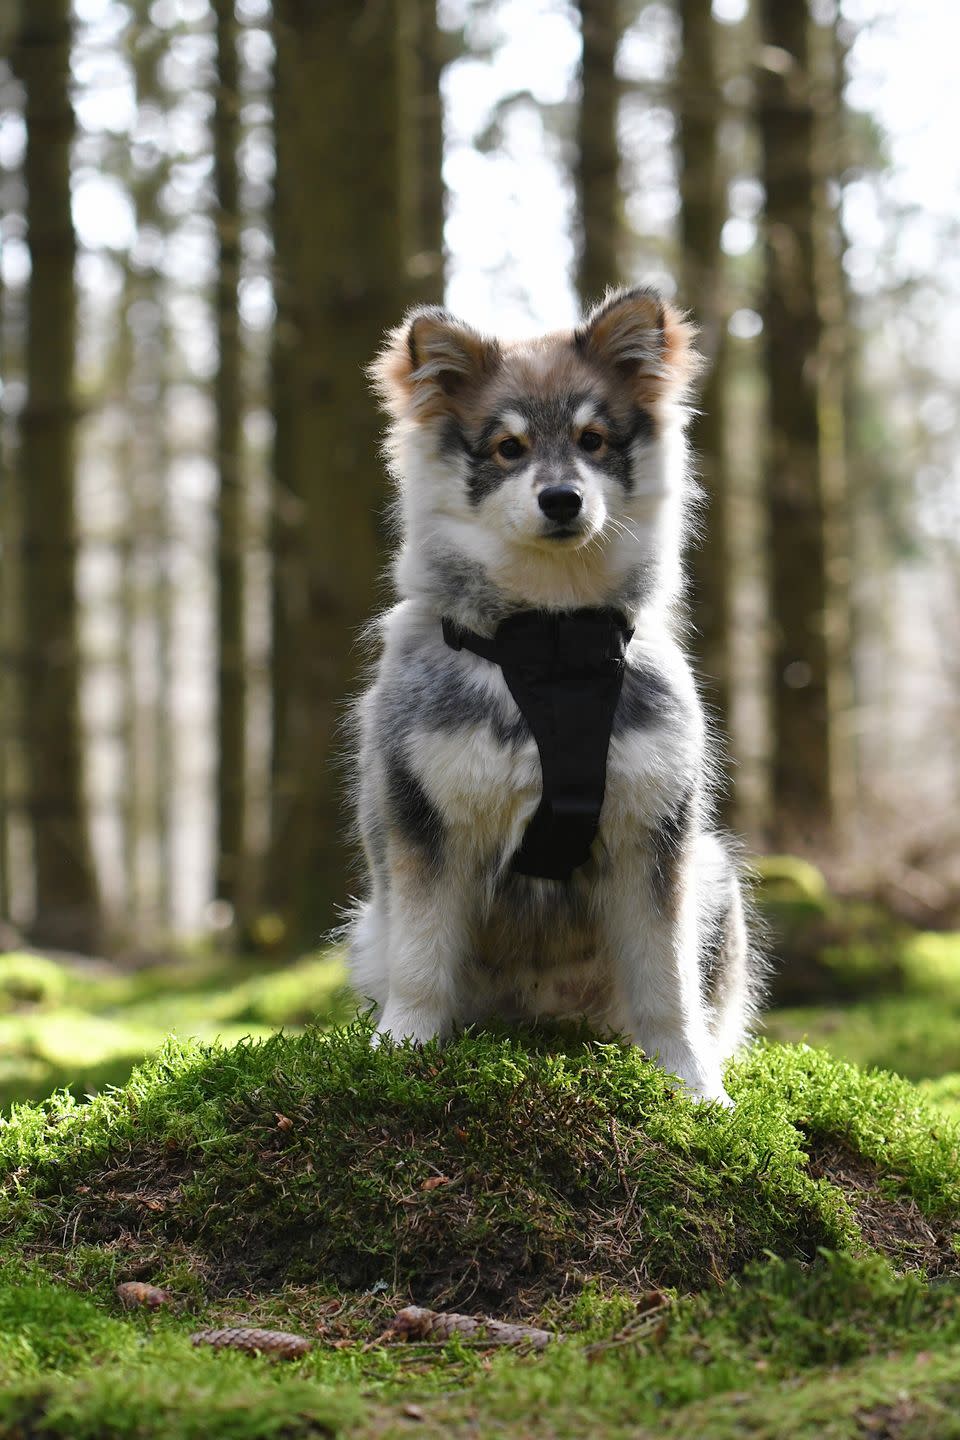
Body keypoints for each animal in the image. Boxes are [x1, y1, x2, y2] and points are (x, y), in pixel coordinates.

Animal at [345, 286, 759, 1105]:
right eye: (508, 448)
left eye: (593, 440)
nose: (562, 499)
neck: (553, 641)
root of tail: (544, 1018)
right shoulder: (428, 828)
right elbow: (422, 962)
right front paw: (404, 1047)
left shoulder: (653, 838)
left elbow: (667, 987)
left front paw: (694, 1085)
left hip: (714, 879)